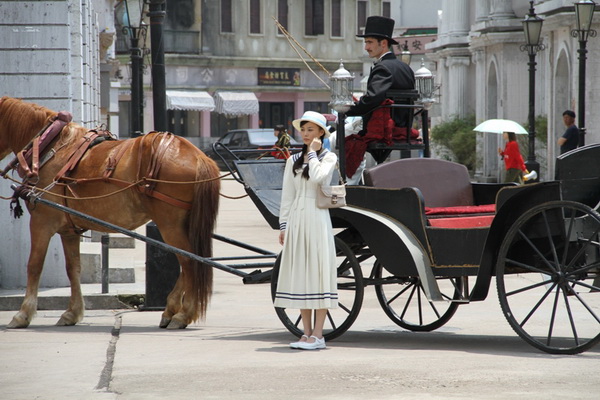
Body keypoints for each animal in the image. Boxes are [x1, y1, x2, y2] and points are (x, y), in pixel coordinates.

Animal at [0, 96, 220, 328]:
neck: (49, 146)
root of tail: (199, 156)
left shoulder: (41, 222)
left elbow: (34, 266)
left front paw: (23, 314)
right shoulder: (69, 230)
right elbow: (73, 268)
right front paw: (72, 312)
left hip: (170, 224)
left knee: (190, 262)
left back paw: (183, 314)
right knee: (190, 262)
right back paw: (171, 310)